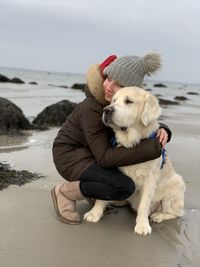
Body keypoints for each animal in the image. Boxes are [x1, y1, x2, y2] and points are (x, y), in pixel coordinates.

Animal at [83, 87, 186, 236]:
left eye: (129, 101)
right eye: (114, 100)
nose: (106, 110)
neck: (132, 146)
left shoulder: (150, 180)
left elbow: (143, 206)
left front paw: (142, 225)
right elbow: (102, 196)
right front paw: (94, 213)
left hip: (176, 183)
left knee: (177, 213)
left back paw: (158, 215)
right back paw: (119, 202)